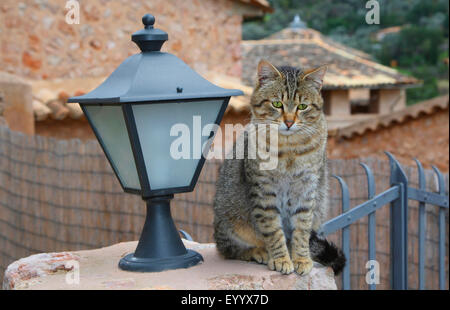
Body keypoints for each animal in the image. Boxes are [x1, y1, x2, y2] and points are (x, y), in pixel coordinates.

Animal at [214, 59, 344, 274]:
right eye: (277, 104)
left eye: (302, 106)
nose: (289, 122)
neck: (289, 149)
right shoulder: (264, 191)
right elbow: (273, 231)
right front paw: (281, 258)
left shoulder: (306, 190)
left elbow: (301, 229)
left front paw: (300, 258)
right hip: (229, 221)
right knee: (229, 249)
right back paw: (258, 251)